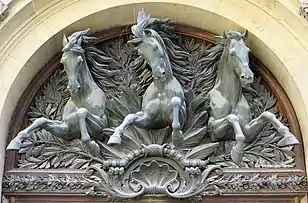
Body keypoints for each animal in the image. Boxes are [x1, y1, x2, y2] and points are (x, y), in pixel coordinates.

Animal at [108, 9, 185, 147]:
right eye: (140, 53)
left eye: (155, 47)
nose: (159, 73)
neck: (161, 89)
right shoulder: (149, 120)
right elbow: (130, 117)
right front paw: (115, 137)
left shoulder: (180, 115)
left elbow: (176, 120)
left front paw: (177, 139)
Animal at [207, 29, 298, 163]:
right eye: (232, 53)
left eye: (247, 51)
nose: (248, 77)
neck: (232, 99)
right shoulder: (212, 131)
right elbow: (232, 117)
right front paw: (237, 151)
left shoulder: (248, 131)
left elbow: (267, 114)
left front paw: (288, 136)